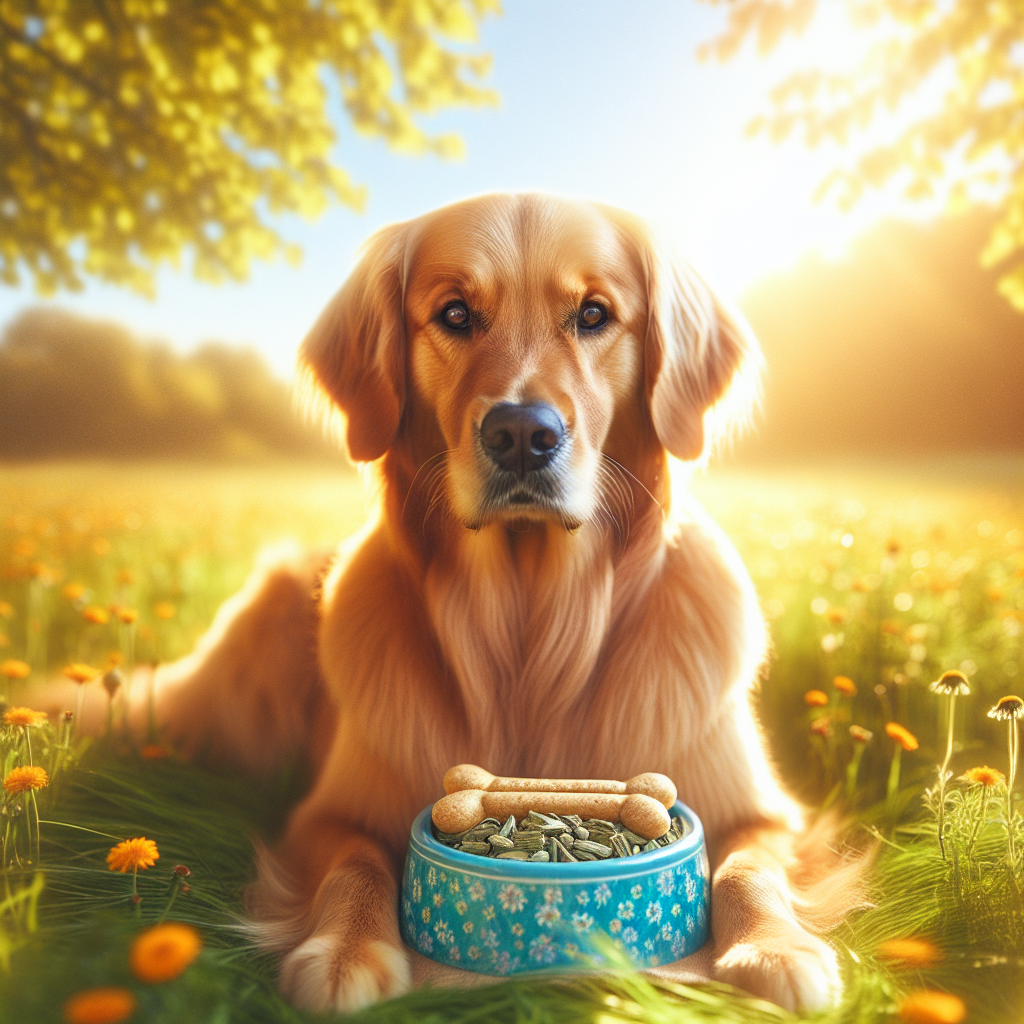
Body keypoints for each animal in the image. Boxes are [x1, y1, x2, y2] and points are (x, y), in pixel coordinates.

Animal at [64, 193, 864, 1015]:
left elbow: (747, 866)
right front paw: (346, 952)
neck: (530, 630)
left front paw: (776, 948)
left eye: (594, 314)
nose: (521, 434)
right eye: (454, 313)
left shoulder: (761, 811)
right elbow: (357, 863)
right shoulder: (330, 814)